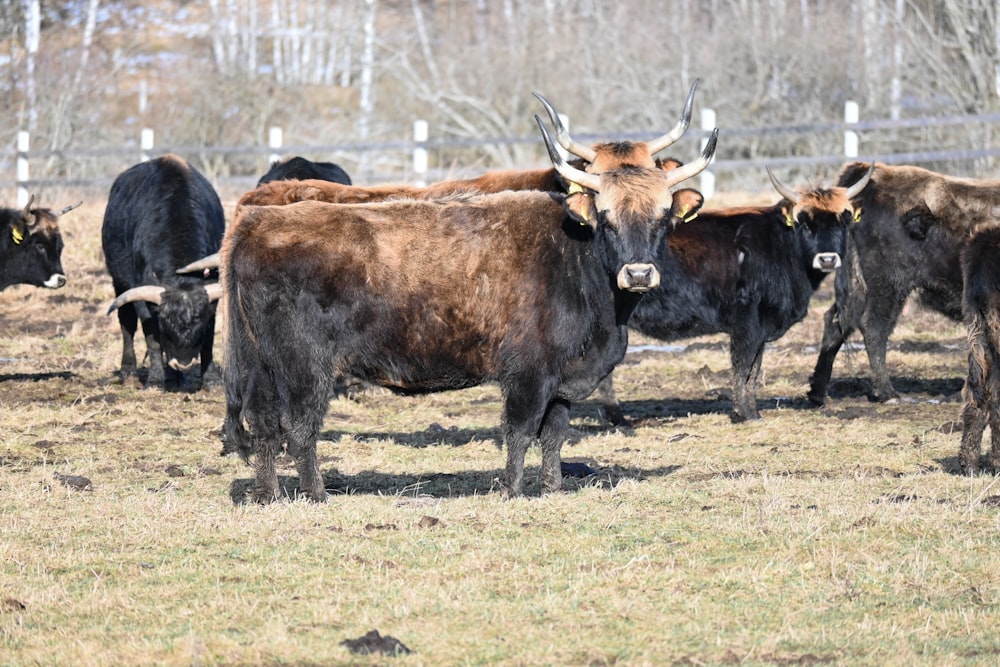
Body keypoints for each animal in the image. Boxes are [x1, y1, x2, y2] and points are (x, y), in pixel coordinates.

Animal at [103, 155, 225, 392]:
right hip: (119, 283)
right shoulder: (141, 298)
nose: (184, 363)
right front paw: (155, 380)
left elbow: (209, 340)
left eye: (200, 326)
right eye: (165, 327)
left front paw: (211, 379)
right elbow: (151, 339)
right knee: (126, 323)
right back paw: (130, 373)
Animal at [223, 102, 716, 504]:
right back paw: (317, 494)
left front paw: (552, 487)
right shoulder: (528, 371)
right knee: (299, 426)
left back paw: (270, 495)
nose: (638, 274)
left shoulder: (561, 378)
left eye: (663, 216)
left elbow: (555, 435)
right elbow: (520, 431)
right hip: (304, 366)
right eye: (607, 217)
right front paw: (514, 491)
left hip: (263, 364)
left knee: (263, 423)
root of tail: (257, 220)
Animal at [808, 164, 1000, 404]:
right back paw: (887, 393)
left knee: (835, 322)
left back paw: (817, 393)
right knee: (873, 327)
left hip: (859, 287)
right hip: (887, 287)